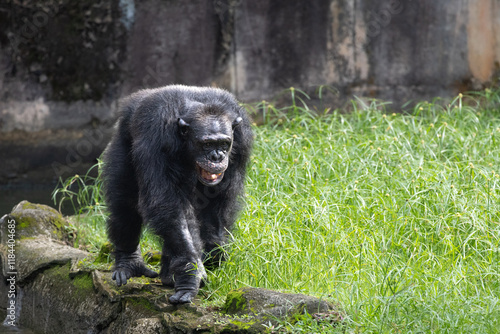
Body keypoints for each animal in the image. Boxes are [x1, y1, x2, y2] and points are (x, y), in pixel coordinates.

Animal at [104, 85, 256, 304]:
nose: (217, 156)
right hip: (122, 141)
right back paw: (129, 262)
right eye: (207, 144)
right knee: (126, 204)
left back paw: (168, 274)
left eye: (224, 143)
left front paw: (213, 251)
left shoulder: (241, 142)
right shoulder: (158, 138)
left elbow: (220, 202)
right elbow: (167, 204)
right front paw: (190, 272)